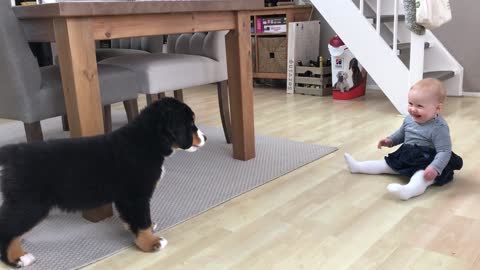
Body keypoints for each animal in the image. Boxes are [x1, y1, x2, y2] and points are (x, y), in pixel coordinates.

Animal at [0, 97, 204, 268]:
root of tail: (15, 151)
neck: (147, 141)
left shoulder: (126, 199)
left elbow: (134, 218)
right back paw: (17, 258)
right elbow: (142, 220)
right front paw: (150, 241)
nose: (206, 138)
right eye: (191, 124)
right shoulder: (135, 197)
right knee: (7, 228)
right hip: (30, 205)